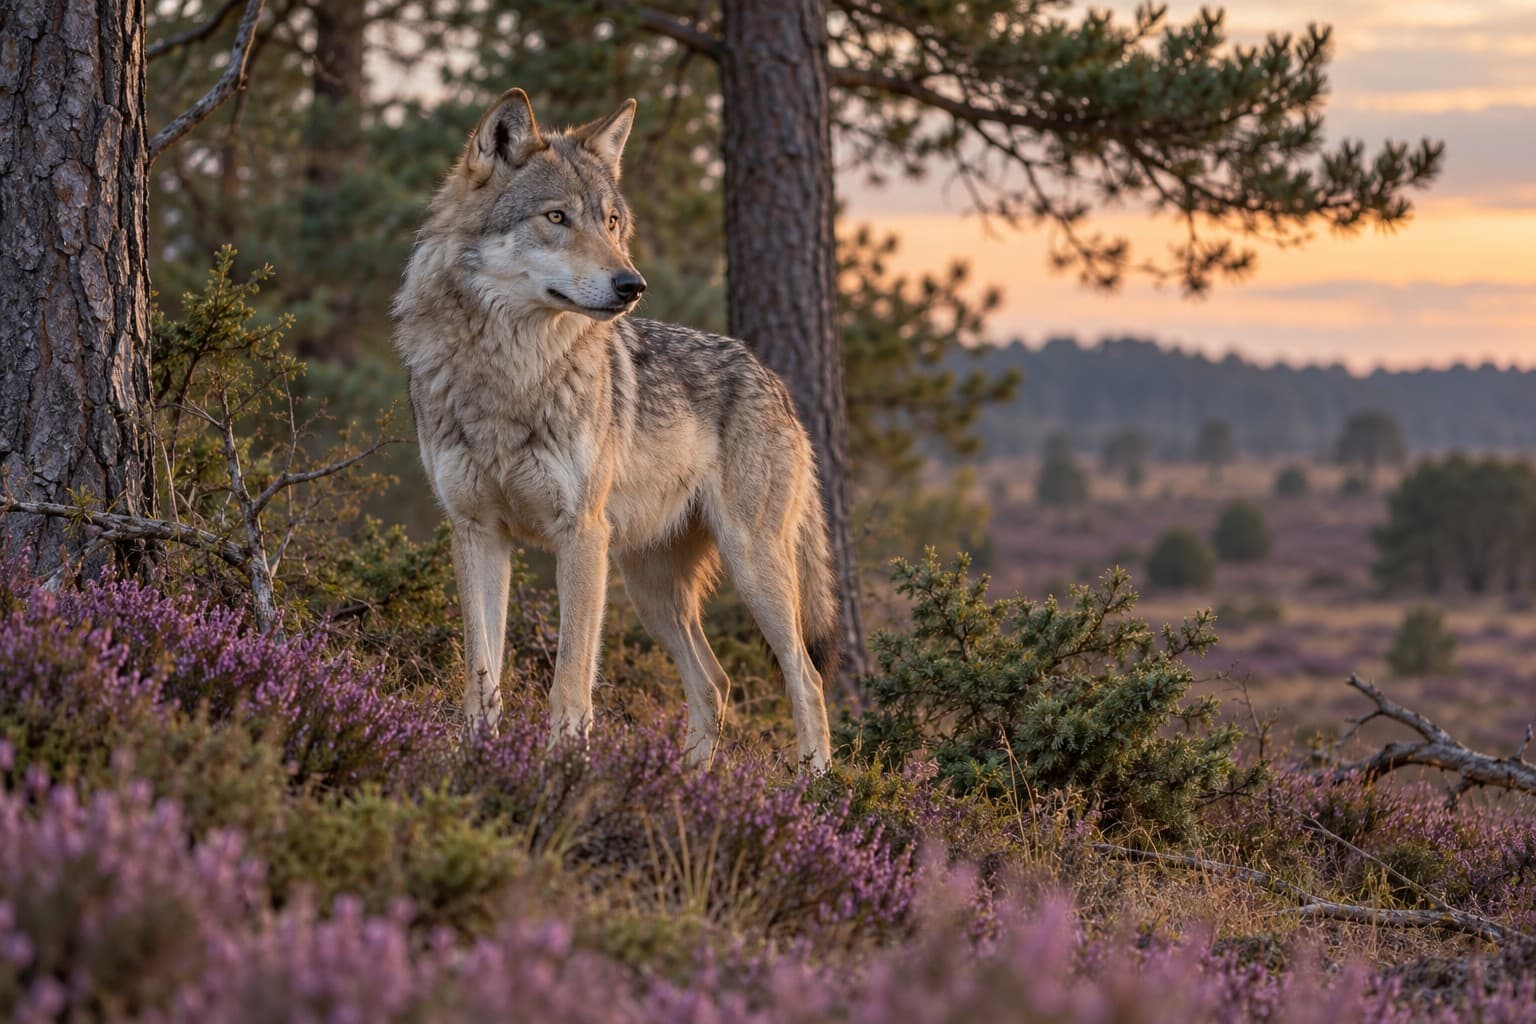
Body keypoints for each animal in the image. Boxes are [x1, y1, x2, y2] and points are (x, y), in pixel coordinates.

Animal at [392, 89, 837, 769]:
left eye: (610, 222)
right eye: (556, 217)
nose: (633, 285)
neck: (510, 372)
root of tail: (772, 378)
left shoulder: (580, 534)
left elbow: (571, 681)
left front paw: (561, 769)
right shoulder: (477, 532)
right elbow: (482, 676)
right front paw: (480, 764)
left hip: (749, 565)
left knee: (804, 678)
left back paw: (811, 786)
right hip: (647, 586)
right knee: (715, 682)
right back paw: (689, 782)